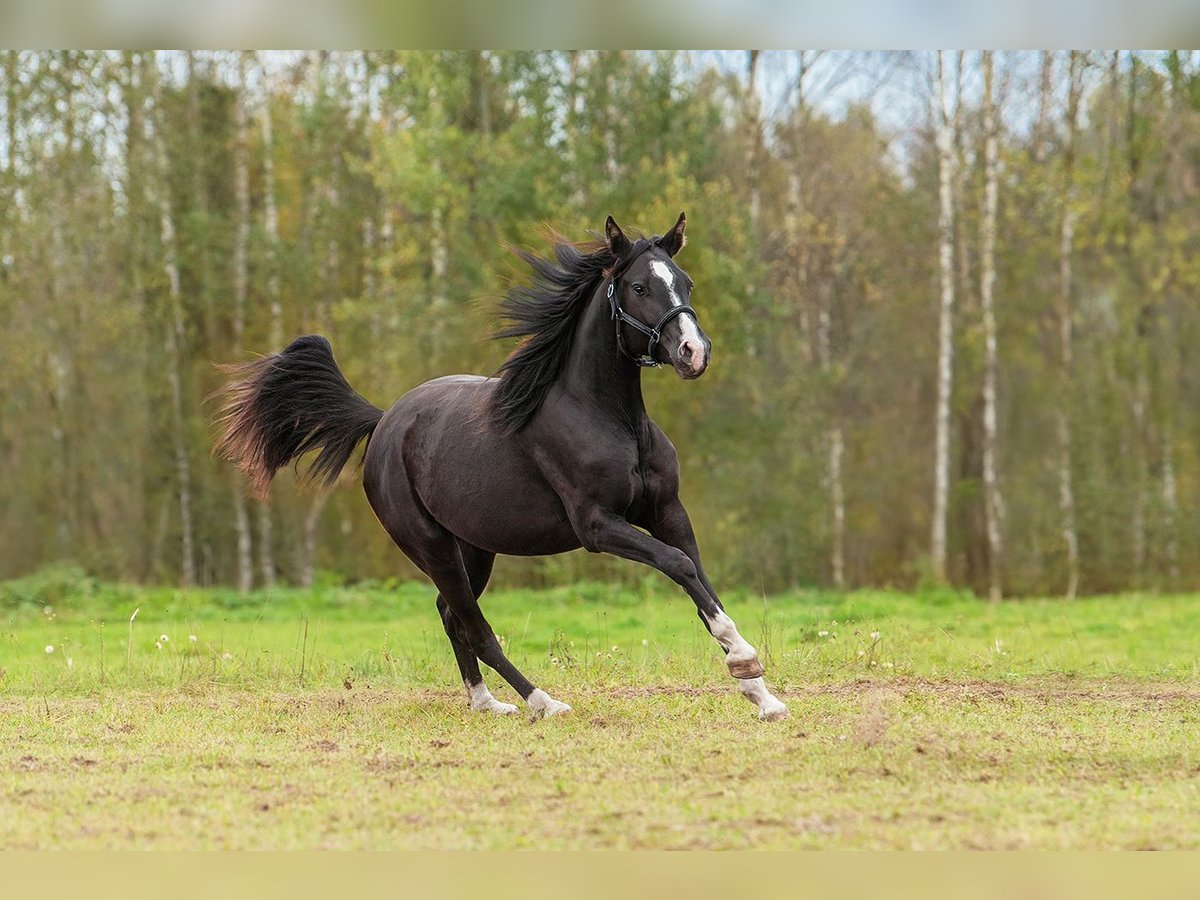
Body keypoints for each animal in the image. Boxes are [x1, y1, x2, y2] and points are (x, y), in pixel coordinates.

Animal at [218, 214, 787, 724]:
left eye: (685, 281)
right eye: (640, 286)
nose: (694, 352)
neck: (612, 418)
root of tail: (383, 425)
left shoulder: (668, 512)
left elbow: (701, 582)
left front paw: (761, 694)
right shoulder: (598, 526)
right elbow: (679, 566)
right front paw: (744, 662)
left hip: (474, 548)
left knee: (451, 615)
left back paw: (486, 703)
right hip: (432, 546)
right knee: (474, 625)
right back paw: (542, 702)